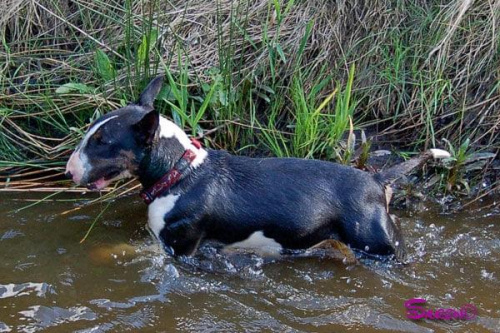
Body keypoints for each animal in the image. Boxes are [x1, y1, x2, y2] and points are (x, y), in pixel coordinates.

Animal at [65, 76, 450, 260]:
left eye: (102, 142)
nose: (69, 171)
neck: (180, 173)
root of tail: (377, 179)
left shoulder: (180, 249)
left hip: (379, 246)